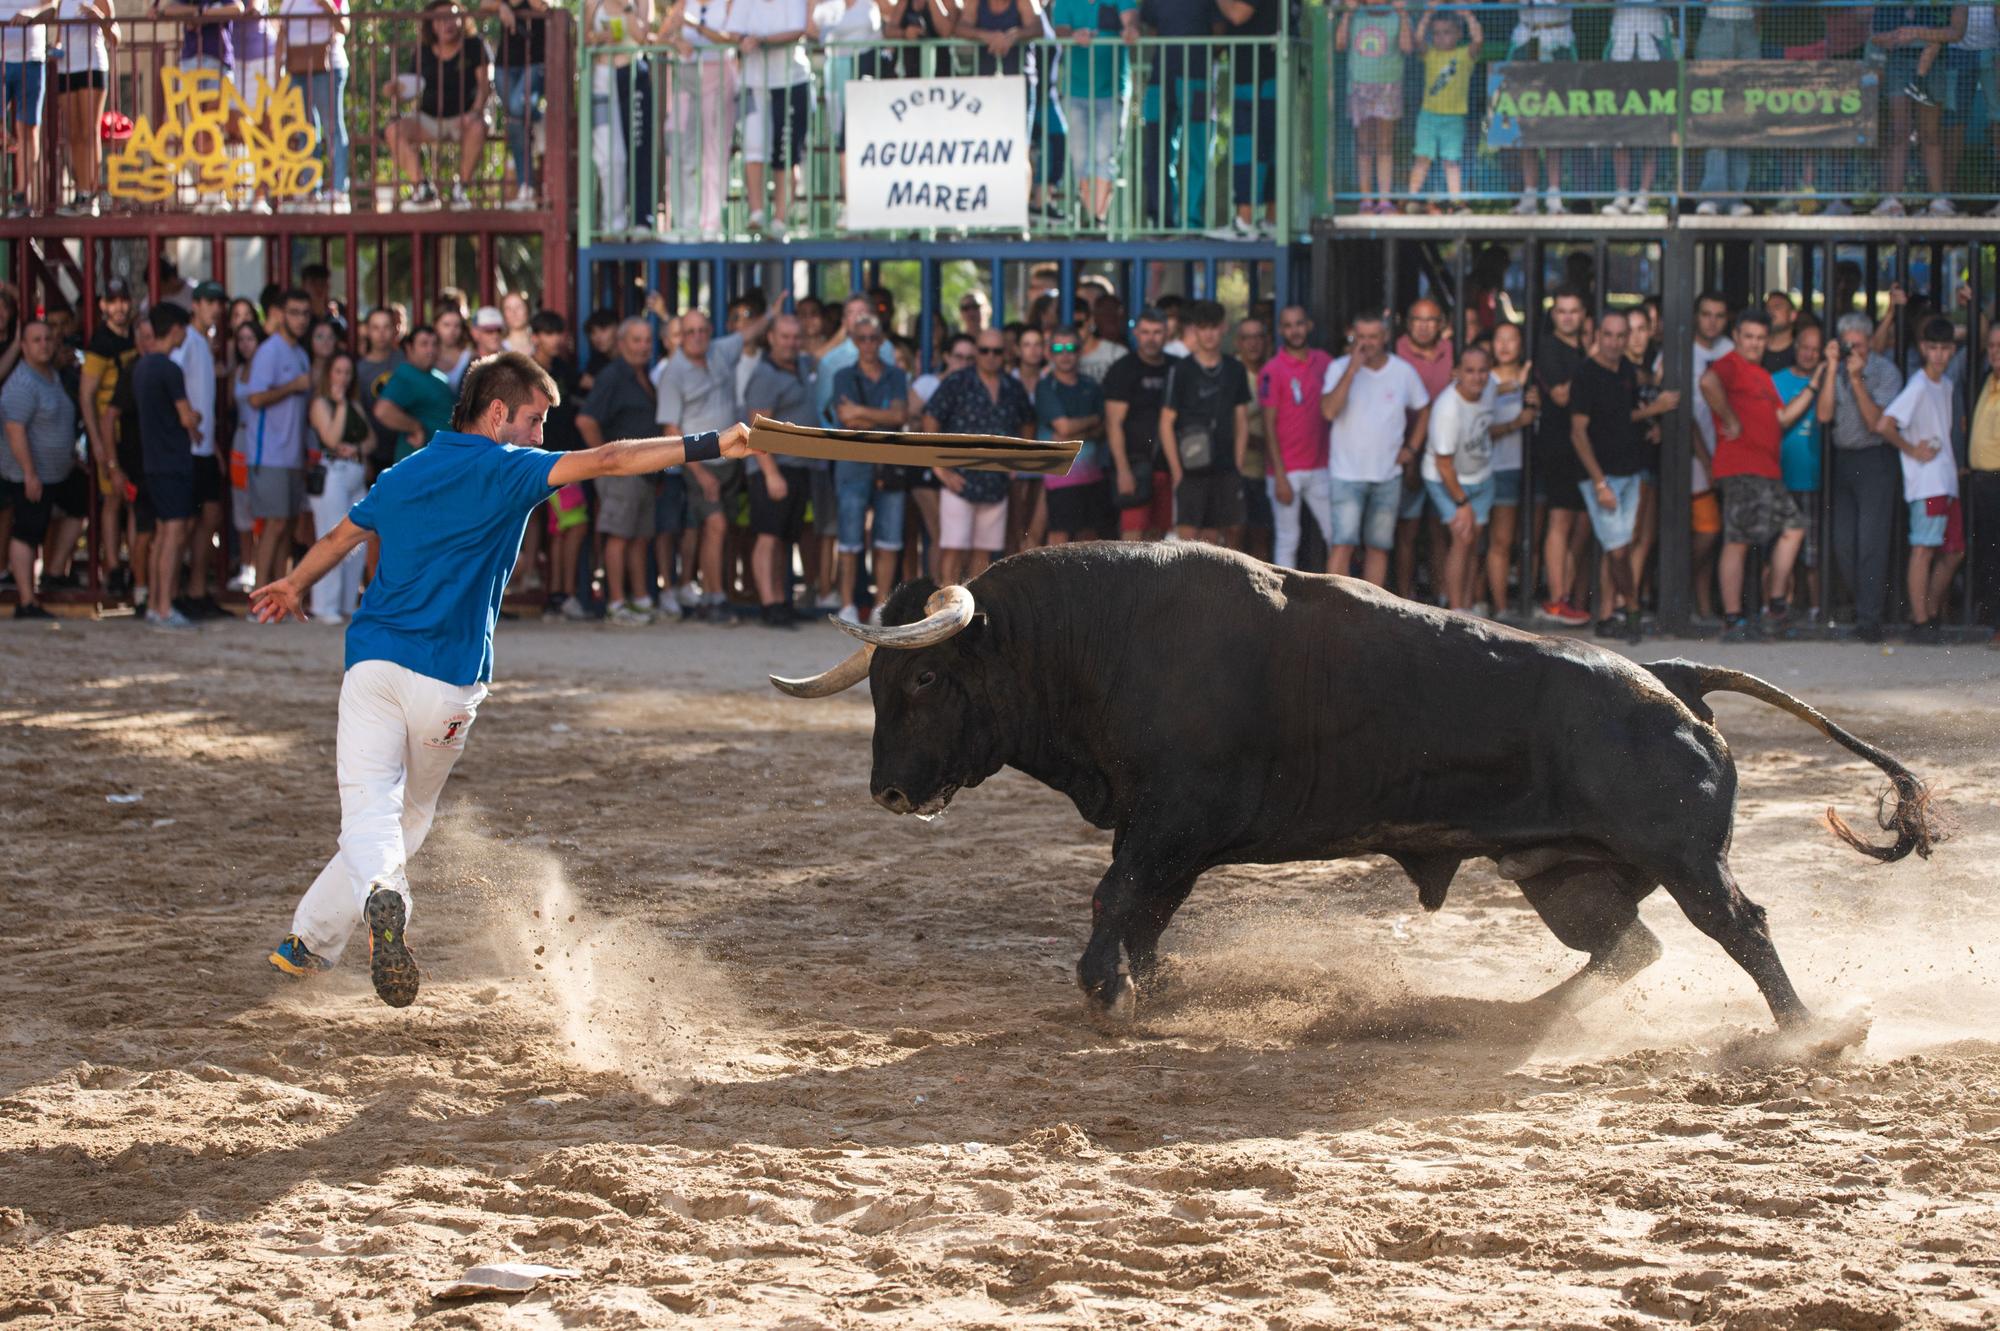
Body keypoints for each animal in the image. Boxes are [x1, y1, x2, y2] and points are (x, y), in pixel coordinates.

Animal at [768, 539, 1936, 1023]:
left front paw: (1108, 990)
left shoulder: (1168, 822)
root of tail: (1670, 679)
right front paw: (1136, 984)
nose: (888, 791)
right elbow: (1139, 913)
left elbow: (1114, 902)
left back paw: (1807, 1031)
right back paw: (1512, 1014)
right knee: (1627, 945)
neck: (1090, 639)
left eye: (923, 677)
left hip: (1683, 858)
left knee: (1740, 925)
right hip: (1562, 872)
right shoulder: (1169, 839)